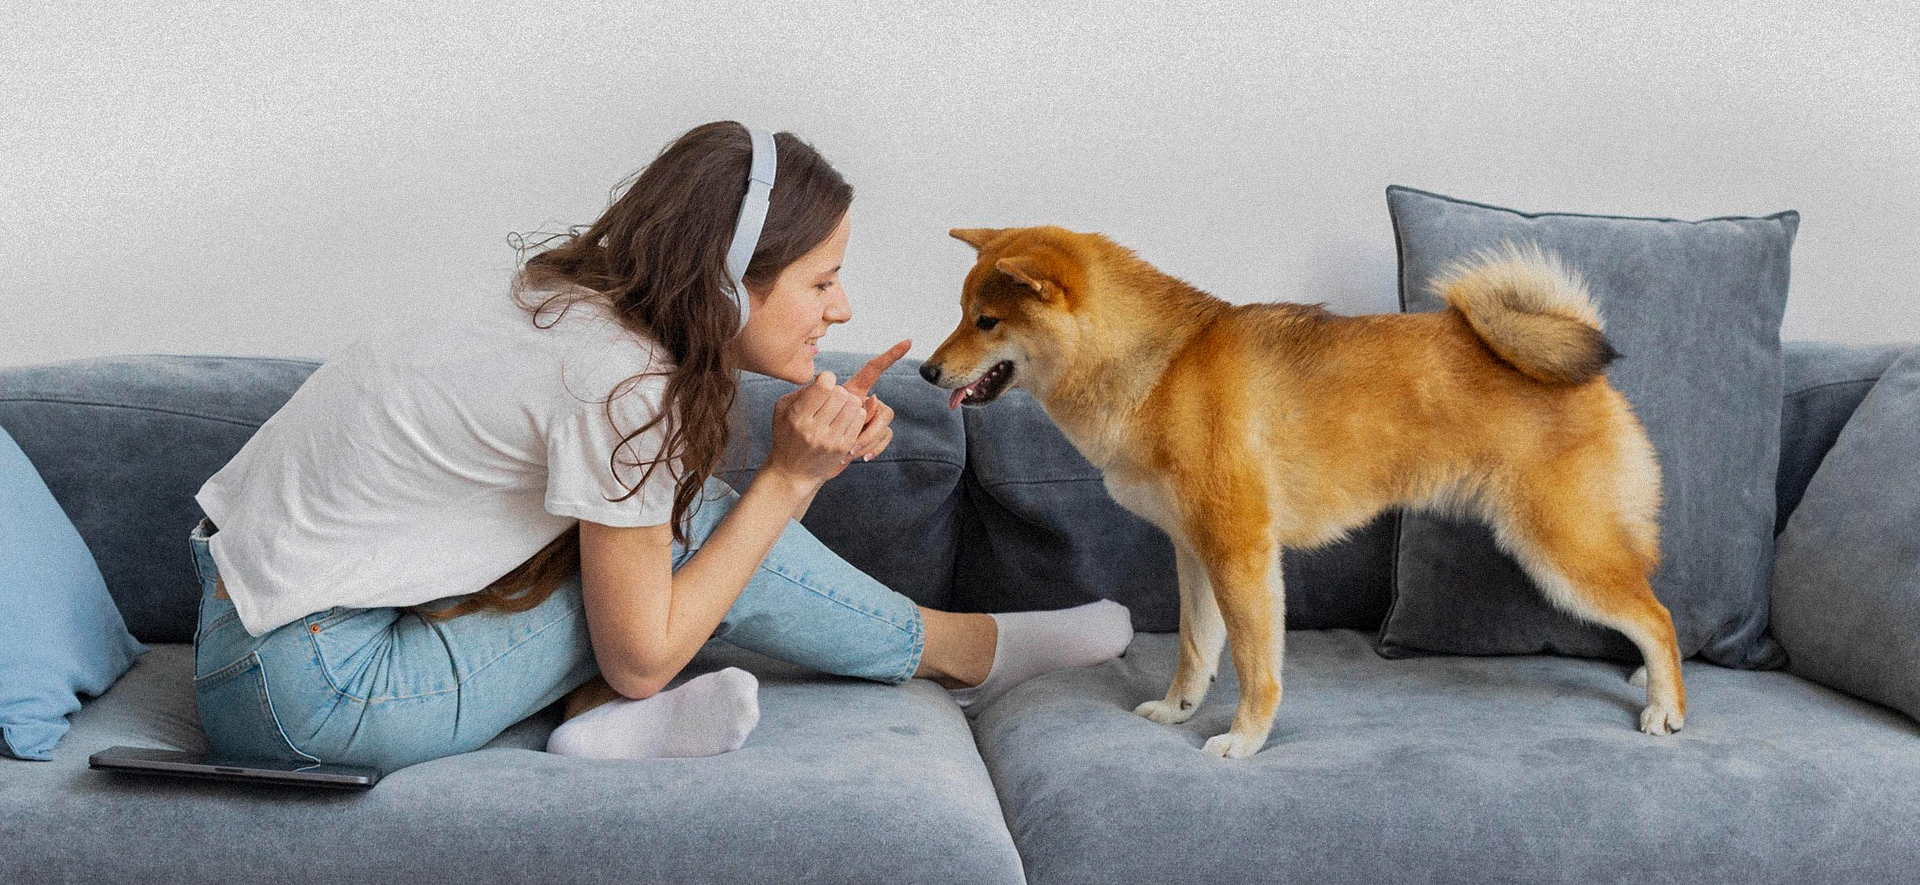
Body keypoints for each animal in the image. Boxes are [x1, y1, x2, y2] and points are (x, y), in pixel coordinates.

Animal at [917, 224, 1681, 756]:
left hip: (1562, 553)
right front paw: (1179, 710)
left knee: (1658, 617)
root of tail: (1587, 374)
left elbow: (1257, 666)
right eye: (958, 311)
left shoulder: (1242, 555)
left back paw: (1665, 706)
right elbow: (1196, 650)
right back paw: (1648, 684)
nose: (926, 370)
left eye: (987, 321)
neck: (1162, 368)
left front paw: (1245, 740)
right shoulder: (1195, 554)